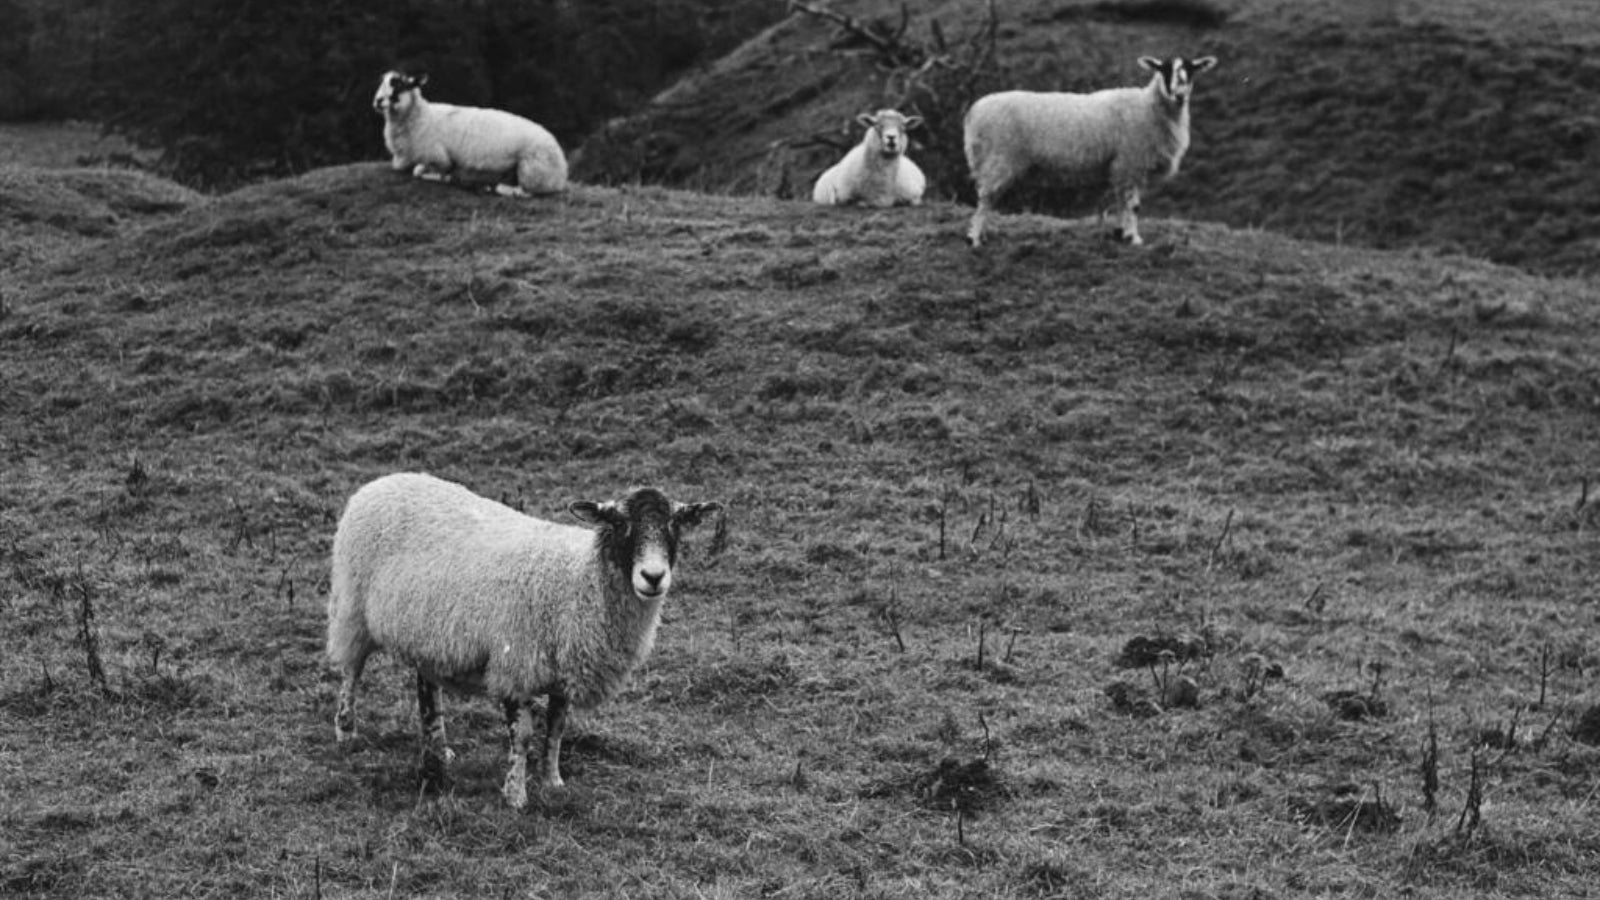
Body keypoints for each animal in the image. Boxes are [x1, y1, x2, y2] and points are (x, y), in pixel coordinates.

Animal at [324, 470, 720, 807]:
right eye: (620, 524)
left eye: (674, 525)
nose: (653, 577)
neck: (577, 581)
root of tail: (383, 481)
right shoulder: (515, 664)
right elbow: (524, 735)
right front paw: (516, 795)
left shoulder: (564, 670)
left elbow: (557, 729)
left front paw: (553, 781)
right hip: (353, 608)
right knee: (351, 672)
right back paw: (346, 732)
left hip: (429, 631)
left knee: (428, 690)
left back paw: (438, 749)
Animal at [371, 69, 572, 196]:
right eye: (382, 82)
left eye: (398, 85)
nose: (378, 101)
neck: (421, 117)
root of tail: (562, 170)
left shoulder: (438, 158)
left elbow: (420, 171)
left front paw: (443, 177)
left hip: (532, 172)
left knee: (525, 193)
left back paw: (496, 188)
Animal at [953, 55, 1216, 245]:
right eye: (1164, 70)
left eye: (1191, 71)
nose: (1180, 95)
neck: (1149, 107)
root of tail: (972, 112)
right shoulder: (1131, 161)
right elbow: (1133, 205)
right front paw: (1134, 238)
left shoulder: (1120, 166)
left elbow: (1121, 202)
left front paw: (1121, 233)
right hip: (998, 158)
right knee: (985, 198)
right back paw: (975, 238)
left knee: (987, 198)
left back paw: (982, 234)